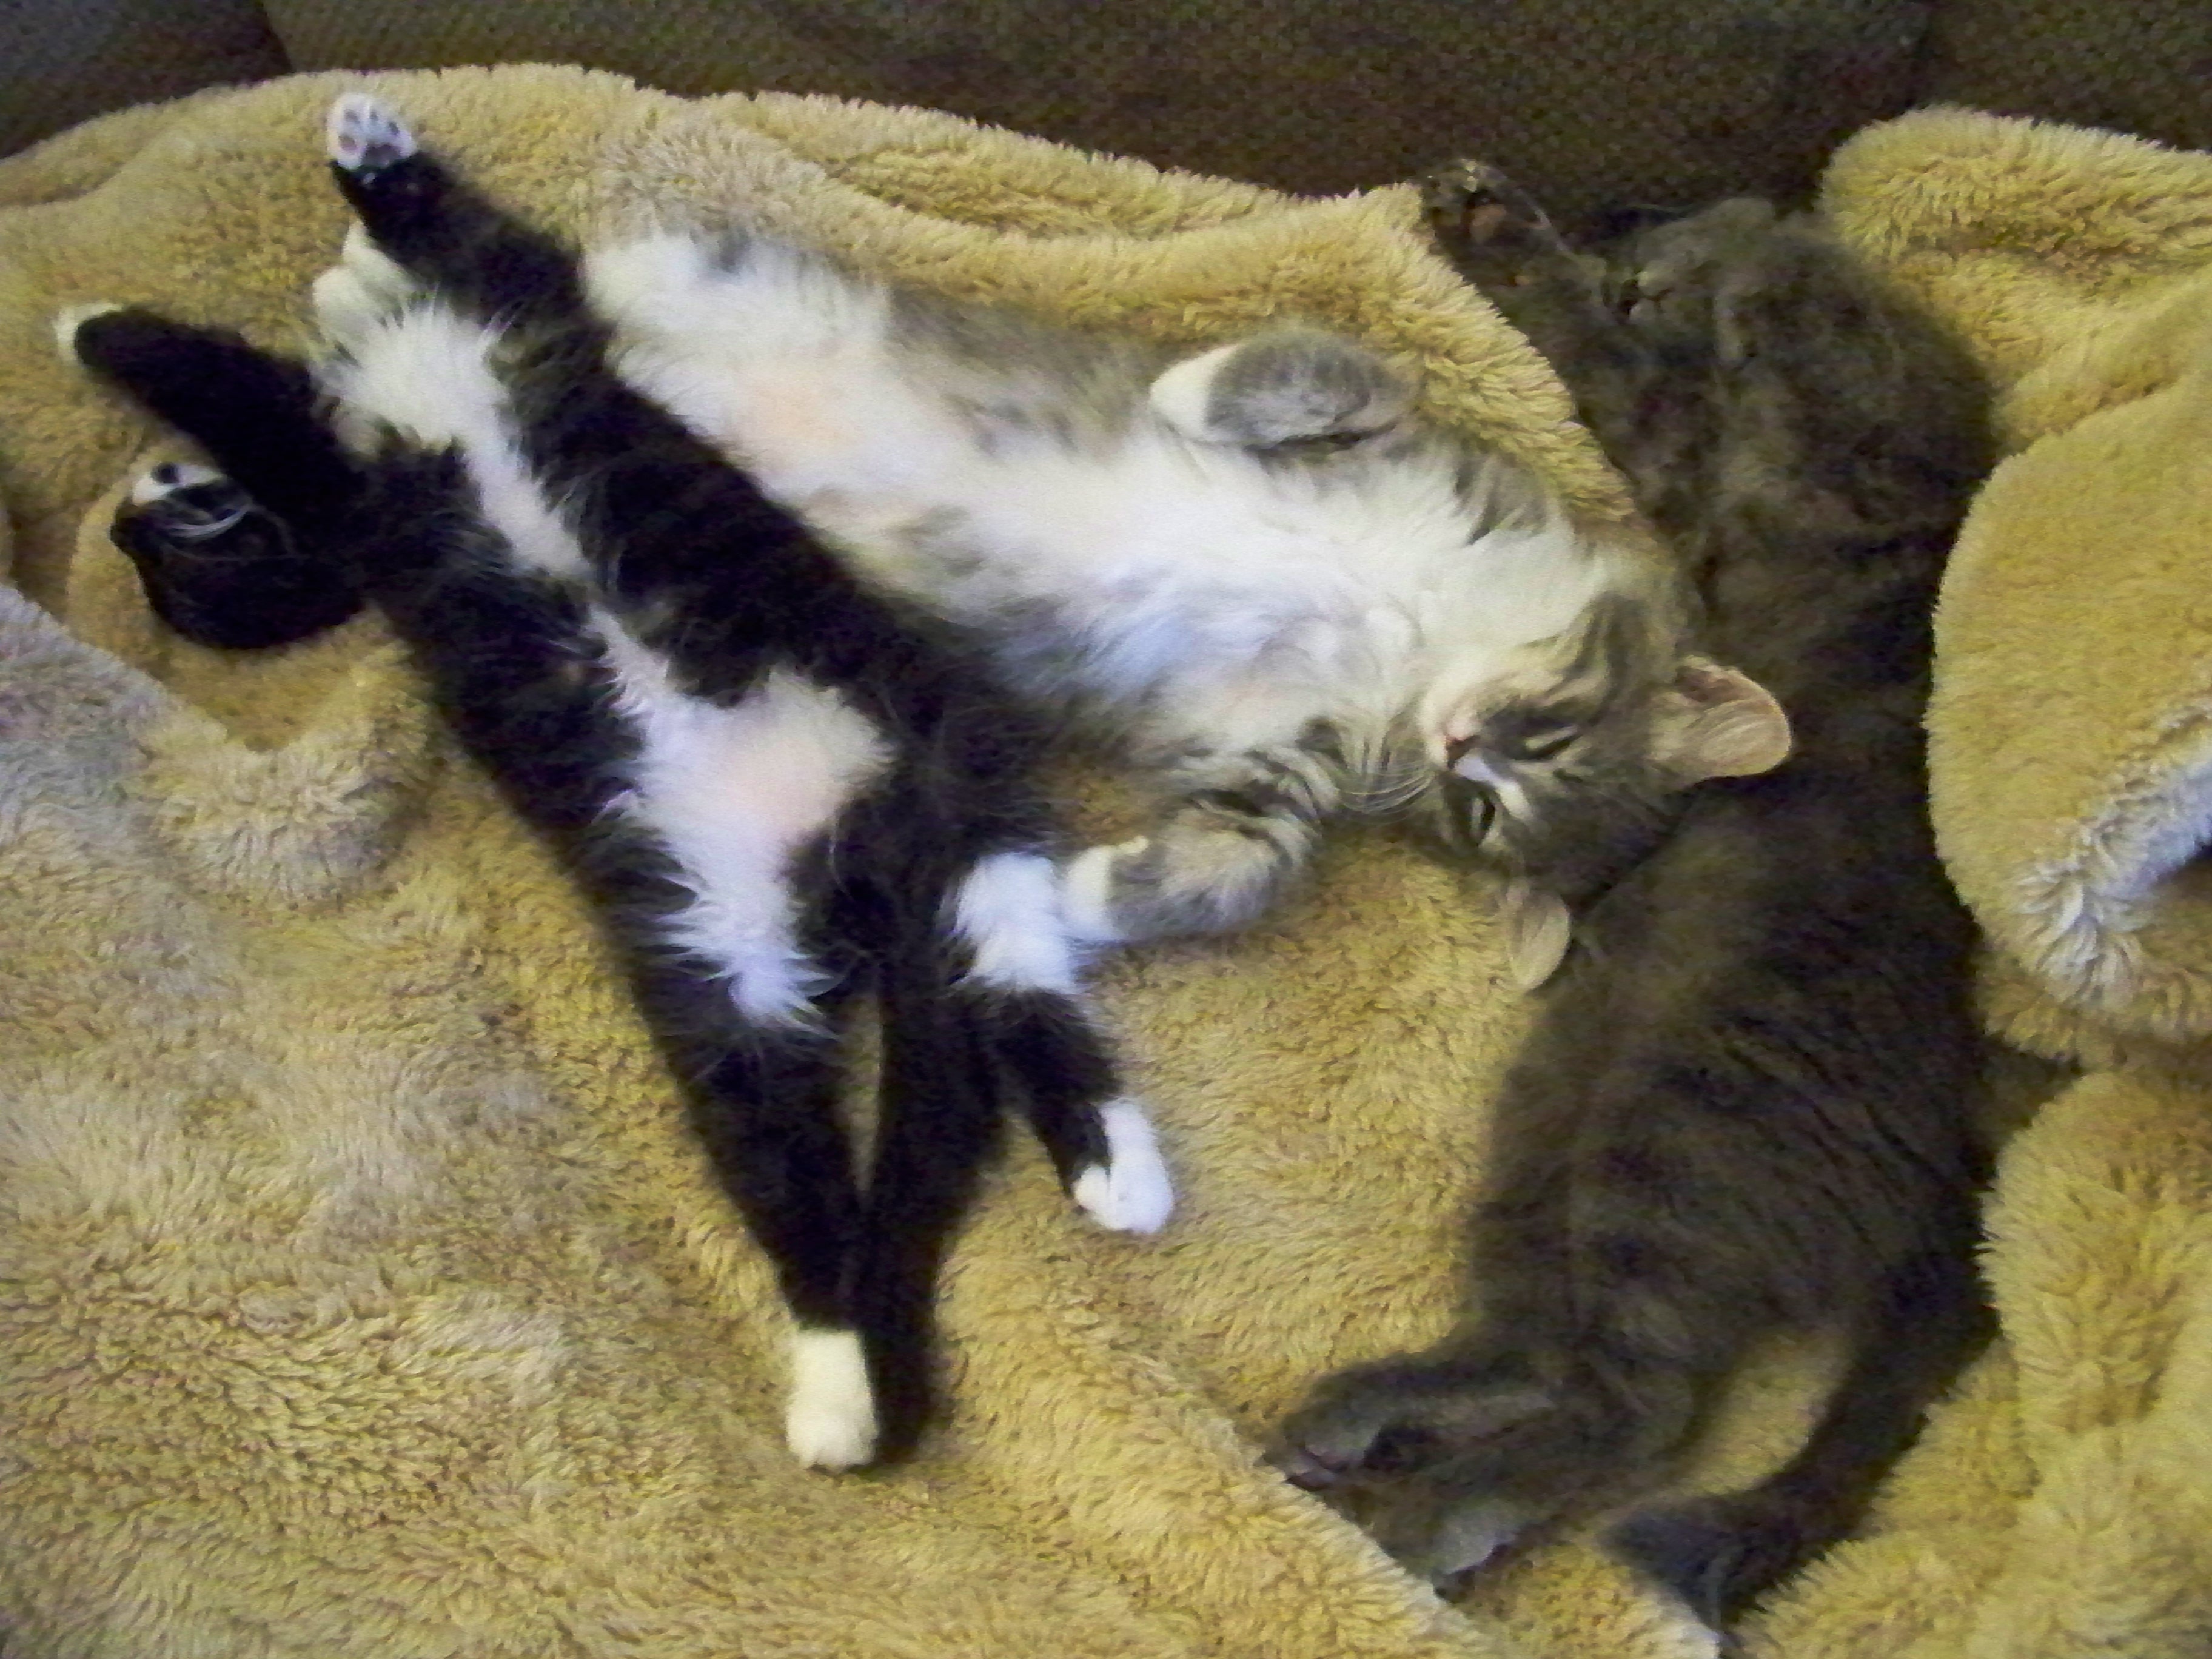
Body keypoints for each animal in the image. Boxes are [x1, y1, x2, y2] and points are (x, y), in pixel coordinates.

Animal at [62, 92, 1177, 1473]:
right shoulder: (363, 456)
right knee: (787, 1142)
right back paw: (836, 1381)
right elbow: (236, 379)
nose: (135, 507)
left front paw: (342, 199)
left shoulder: (498, 315)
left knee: (1016, 994)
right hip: (712, 951)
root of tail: (839, 869)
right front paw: (153, 310)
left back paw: (1105, 1170)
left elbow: (320, 311)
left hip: (940, 777)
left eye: (162, 540)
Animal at [1270, 163, 2000, 1633]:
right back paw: (1372, 1426)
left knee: (1644, 1405)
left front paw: (1656, 269)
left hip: (1674, 1140)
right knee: (1549, 1350)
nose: (1636, 246)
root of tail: (1950, 1189)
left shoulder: (1846, 428)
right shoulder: (1694, 464)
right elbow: (1631, 383)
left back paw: (1430, 1514)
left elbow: (1717, 349)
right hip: (1551, 1119)